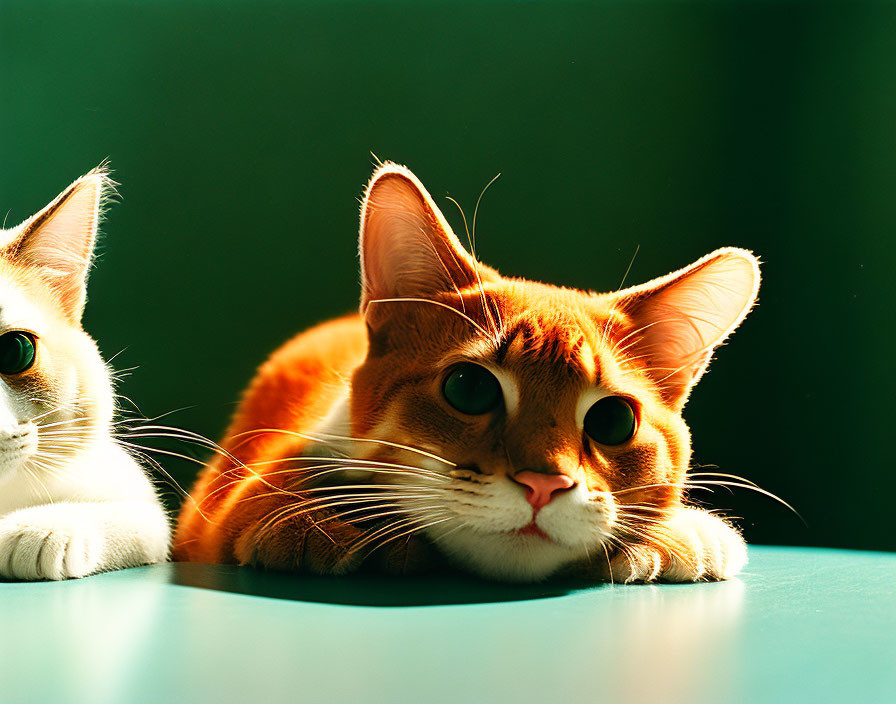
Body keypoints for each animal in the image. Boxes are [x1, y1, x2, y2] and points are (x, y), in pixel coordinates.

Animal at [173, 164, 756, 584]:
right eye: (469, 388)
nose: (544, 485)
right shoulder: (227, 500)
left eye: (613, 421)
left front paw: (682, 532)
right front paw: (317, 522)